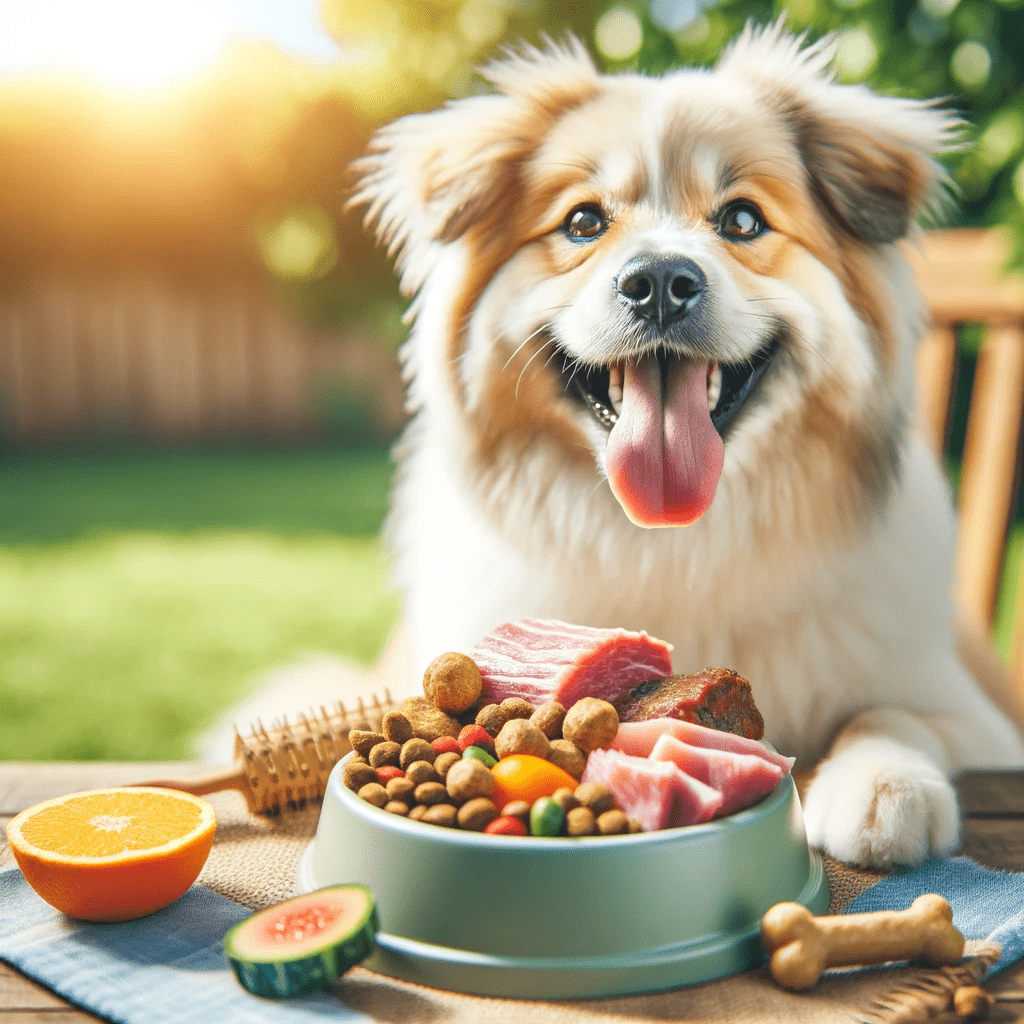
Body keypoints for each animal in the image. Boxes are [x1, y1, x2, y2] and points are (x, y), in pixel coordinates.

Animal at [203, 24, 1019, 868]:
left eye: (742, 221)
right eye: (584, 223)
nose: (659, 281)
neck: (675, 541)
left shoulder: (972, 713)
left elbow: (889, 713)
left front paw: (885, 786)